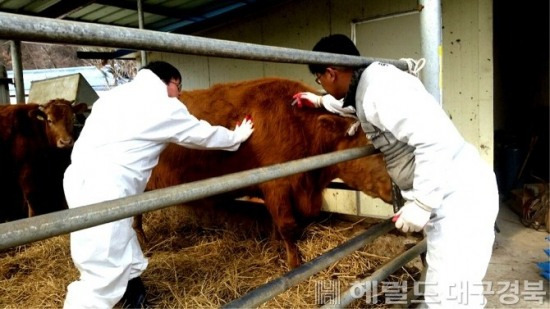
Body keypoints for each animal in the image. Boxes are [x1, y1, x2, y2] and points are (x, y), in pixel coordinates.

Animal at [142, 77, 392, 268]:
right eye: (372, 148)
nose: (394, 187)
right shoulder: (277, 185)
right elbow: (287, 227)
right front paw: (294, 264)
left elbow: (276, 226)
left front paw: (275, 248)